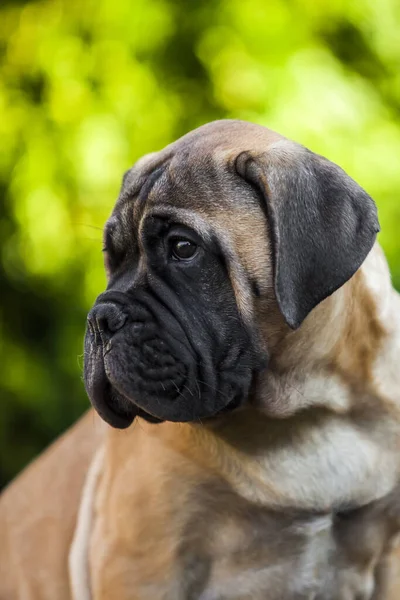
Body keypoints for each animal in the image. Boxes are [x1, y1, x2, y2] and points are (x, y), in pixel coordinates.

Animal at [2, 118, 400, 600]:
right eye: (111, 258)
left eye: (183, 248)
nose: (101, 318)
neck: (305, 415)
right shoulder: (144, 565)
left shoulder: (389, 560)